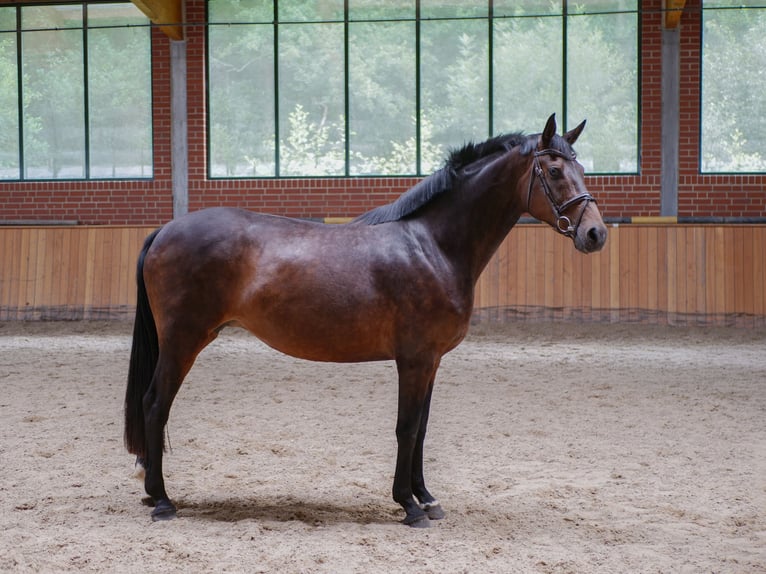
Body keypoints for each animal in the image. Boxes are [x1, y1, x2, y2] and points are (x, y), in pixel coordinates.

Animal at [124, 114, 607, 527]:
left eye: (581, 168)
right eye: (555, 171)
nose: (596, 234)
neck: (433, 245)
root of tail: (165, 230)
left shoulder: (431, 361)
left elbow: (422, 429)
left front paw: (427, 498)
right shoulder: (414, 360)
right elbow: (406, 428)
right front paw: (408, 505)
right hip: (183, 341)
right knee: (155, 404)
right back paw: (162, 500)